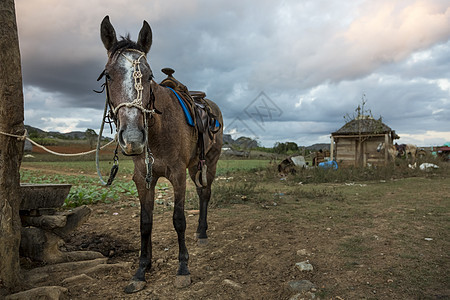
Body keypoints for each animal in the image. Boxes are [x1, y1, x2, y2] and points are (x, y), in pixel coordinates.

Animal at [100, 15, 223, 292]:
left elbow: (179, 220)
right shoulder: (142, 178)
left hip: (210, 161)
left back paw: (202, 233)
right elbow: (145, 223)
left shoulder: (177, 175)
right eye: (109, 76)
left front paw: (183, 268)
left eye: (149, 76)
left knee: (205, 193)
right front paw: (141, 270)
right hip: (194, 164)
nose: (133, 138)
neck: (158, 129)